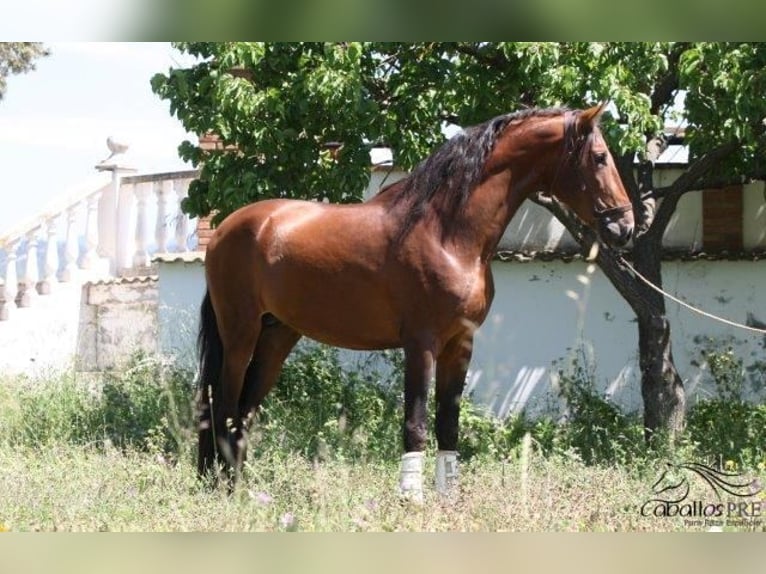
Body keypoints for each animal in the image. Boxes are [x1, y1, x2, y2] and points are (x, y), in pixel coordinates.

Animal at [198, 104, 636, 504]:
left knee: (244, 411)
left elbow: (448, 424)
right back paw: (222, 490)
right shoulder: (421, 344)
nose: (626, 227)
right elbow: (416, 423)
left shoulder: (459, 345)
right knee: (224, 404)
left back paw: (237, 489)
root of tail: (225, 230)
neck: (446, 232)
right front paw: (412, 497)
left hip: (278, 336)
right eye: (600, 157)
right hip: (240, 335)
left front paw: (448, 497)